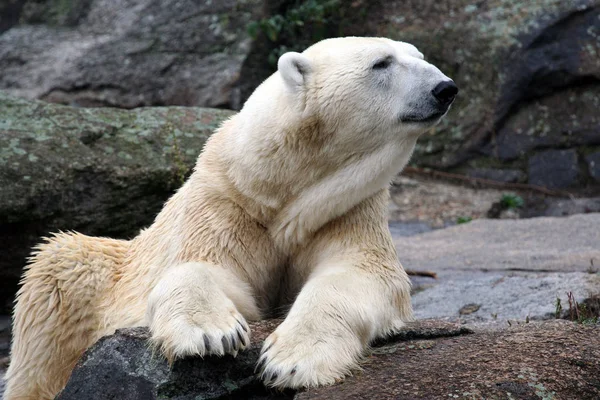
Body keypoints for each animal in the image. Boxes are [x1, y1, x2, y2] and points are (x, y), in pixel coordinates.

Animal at [4, 36, 458, 398]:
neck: (281, 188)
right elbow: (204, 267)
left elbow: (360, 274)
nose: (445, 88)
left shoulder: (347, 208)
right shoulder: (225, 203)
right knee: (54, 287)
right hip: (88, 277)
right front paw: (212, 335)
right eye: (381, 63)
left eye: (419, 56)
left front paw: (290, 361)